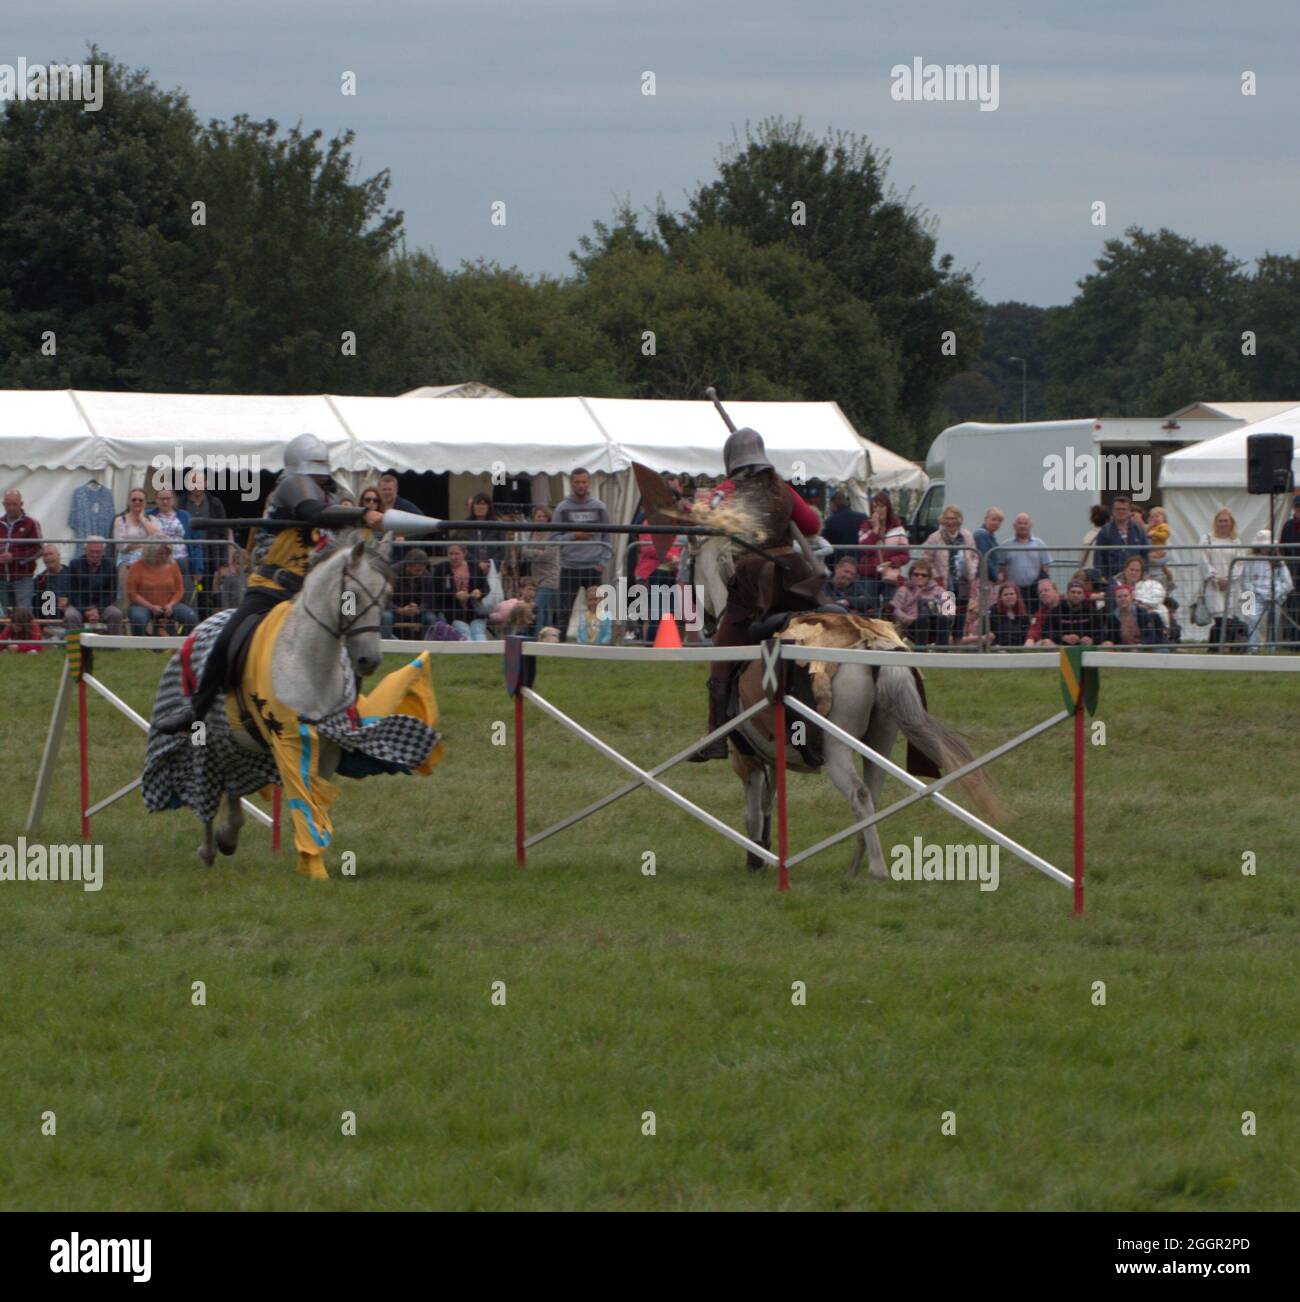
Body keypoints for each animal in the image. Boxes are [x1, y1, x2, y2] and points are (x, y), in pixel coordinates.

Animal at [692, 533, 995, 880]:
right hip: (880, 740)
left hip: (837, 747)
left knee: (859, 794)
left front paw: (755, 858)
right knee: (873, 794)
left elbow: (753, 813)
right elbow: (769, 804)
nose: (707, 625)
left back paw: (876, 868)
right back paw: (854, 867)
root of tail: (871, 644)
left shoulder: (746, 760)